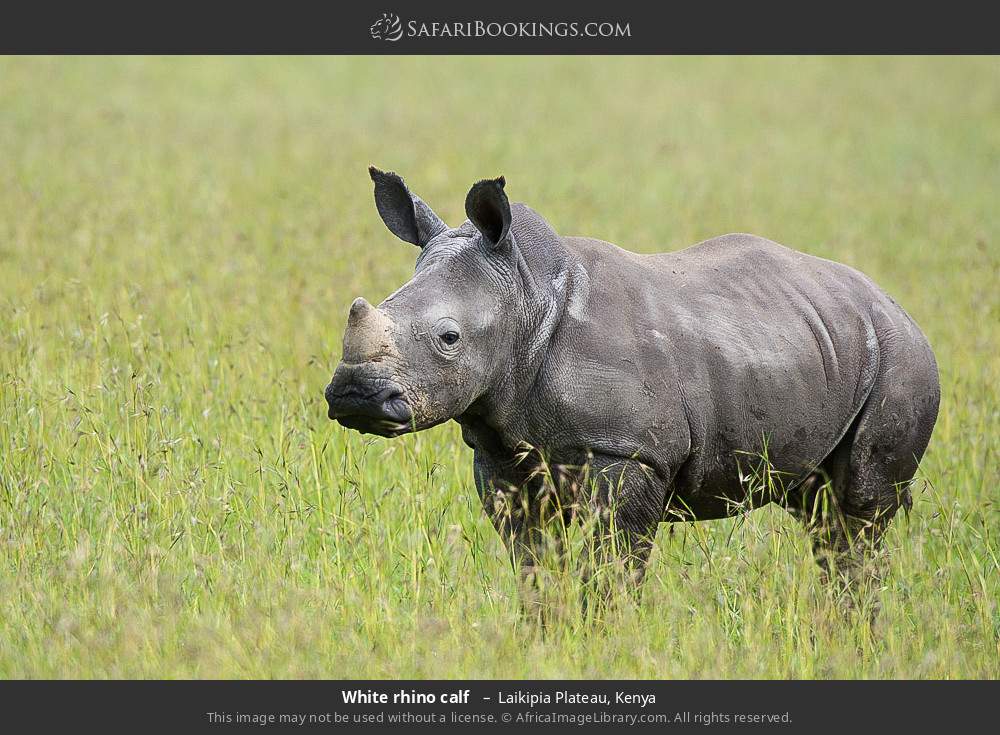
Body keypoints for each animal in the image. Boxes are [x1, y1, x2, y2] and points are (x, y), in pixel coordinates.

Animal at [325, 167, 940, 611]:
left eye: (449, 338)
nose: (356, 395)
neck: (527, 295)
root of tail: (897, 307)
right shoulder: (502, 452)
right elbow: (533, 563)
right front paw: (543, 633)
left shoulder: (630, 451)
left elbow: (613, 565)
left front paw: (602, 634)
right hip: (816, 341)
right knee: (821, 515)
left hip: (900, 358)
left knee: (857, 518)